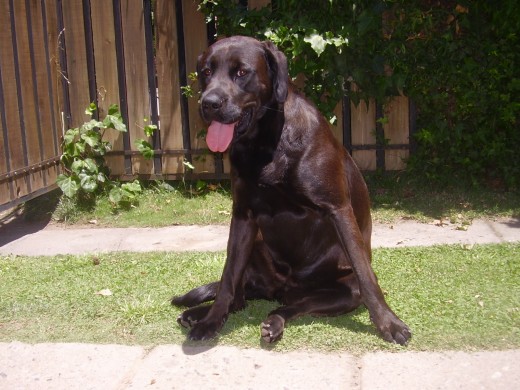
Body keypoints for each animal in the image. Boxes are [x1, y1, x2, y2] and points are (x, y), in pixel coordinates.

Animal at [173, 35, 412, 344]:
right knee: (239, 296)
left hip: (342, 291)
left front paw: (388, 322)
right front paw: (211, 321)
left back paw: (273, 323)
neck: (265, 144)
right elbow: (227, 279)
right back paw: (199, 313)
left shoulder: (338, 209)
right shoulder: (243, 216)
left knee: (291, 307)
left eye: (242, 72)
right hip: (255, 248)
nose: (209, 103)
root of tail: (278, 289)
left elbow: (366, 275)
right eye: (206, 72)